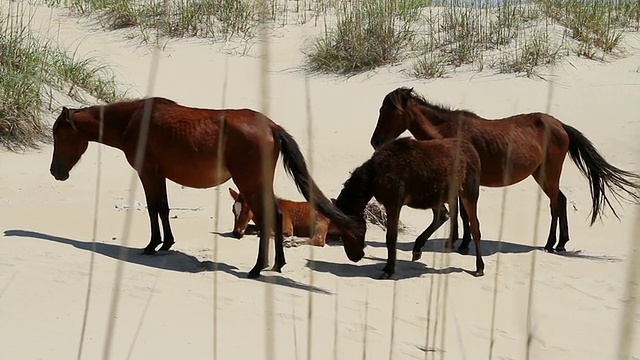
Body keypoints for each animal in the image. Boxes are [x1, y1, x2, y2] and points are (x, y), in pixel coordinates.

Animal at [338, 136, 482, 280]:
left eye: (348, 232)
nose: (355, 257)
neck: (371, 180)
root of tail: (473, 150)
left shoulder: (394, 202)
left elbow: (391, 237)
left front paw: (389, 270)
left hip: (469, 192)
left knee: (474, 228)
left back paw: (479, 267)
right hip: (437, 197)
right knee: (443, 215)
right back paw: (418, 248)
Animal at [370, 87, 640, 252]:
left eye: (389, 110)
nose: (376, 142)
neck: (450, 132)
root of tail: (560, 125)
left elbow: (464, 213)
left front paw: (461, 244)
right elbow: (463, 214)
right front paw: (462, 242)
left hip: (549, 174)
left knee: (556, 204)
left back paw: (551, 243)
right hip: (541, 175)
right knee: (561, 201)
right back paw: (561, 242)